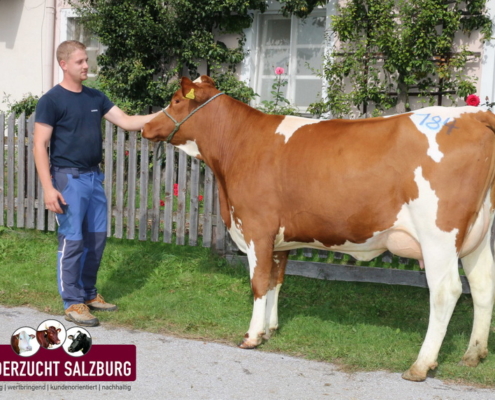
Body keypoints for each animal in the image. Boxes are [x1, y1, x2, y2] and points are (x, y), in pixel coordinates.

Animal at [141, 76, 495, 382]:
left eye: (175, 100)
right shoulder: (279, 239)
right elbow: (276, 281)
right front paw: (270, 328)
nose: (145, 126)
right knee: (482, 285)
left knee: (446, 291)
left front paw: (252, 336)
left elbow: (258, 283)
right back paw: (473, 354)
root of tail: (473, 114)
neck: (239, 145)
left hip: (439, 235)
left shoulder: (257, 228)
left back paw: (420, 365)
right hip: (477, 237)